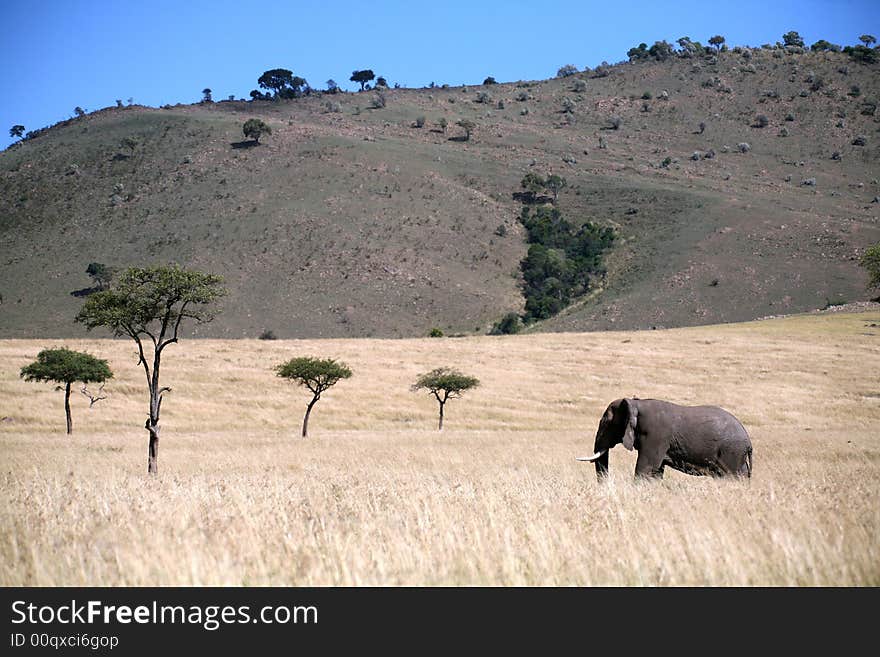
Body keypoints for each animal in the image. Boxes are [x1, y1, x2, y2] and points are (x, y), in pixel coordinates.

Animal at [576, 398, 752, 480]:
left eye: (606, 423)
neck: (636, 404)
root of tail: (749, 442)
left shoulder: (656, 435)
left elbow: (645, 468)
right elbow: (656, 471)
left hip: (731, 452)